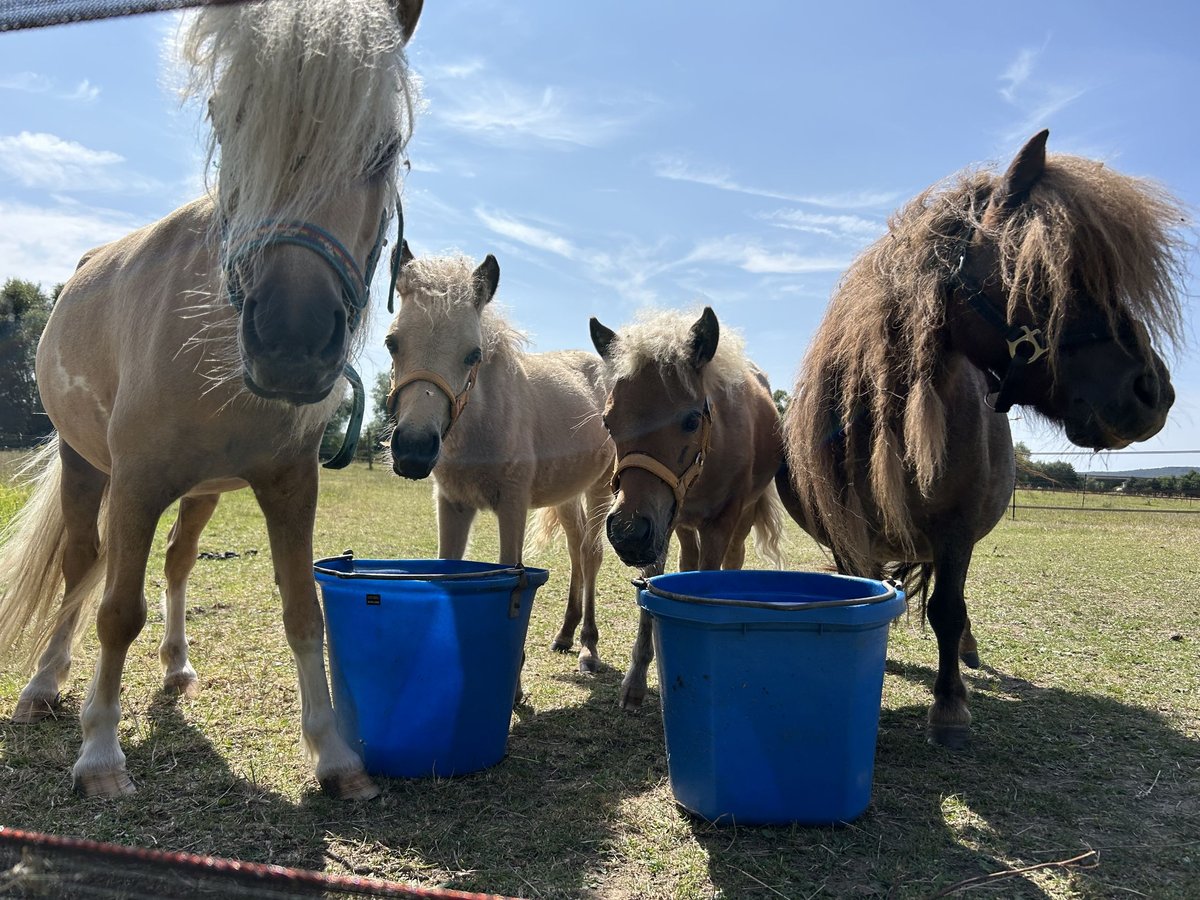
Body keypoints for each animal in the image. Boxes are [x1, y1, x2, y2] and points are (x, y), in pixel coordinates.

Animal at [0, 1, 422, 801]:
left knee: (175, 561)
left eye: (383, 148)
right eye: (228, 121)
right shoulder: (136, 482)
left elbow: (302, 609)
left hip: (200, 491)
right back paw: (43, 685)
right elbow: (115, 611)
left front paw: (335, 756)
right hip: (85, 463)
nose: (289, 339)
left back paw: (174, 667)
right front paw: (100, 755)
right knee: (82, 564)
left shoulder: (289, 484)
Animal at [384, 247, 614, 676]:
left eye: (473, 354)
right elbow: (447, 568)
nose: (414, 451)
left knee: (591, 554)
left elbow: (512, 570)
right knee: (576, 549)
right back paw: (565, 634)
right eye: (392, 343)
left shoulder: (513, 504)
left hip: (600, 485)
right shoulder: (452, 504)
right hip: (566, 492)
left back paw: (589, 647)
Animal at [590, 309, 787, 710]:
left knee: (734, 560)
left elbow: (707, 584)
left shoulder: (720, 523)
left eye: (691, 420)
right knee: (687, 562)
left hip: (742, 518)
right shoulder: (662, 523)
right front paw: (636, 681)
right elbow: (652, 591)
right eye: (608, 422)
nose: (627, 532)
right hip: (679, 524)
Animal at [777, 127, 1180, 748]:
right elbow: (862, 593)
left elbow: (946, 609)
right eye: (1045, 273)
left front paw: (949, 707)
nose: (1152, 391)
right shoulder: (849, 535)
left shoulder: (957, 529)